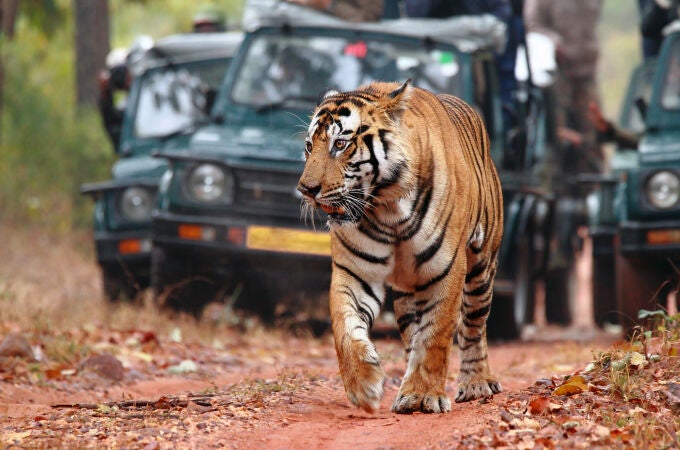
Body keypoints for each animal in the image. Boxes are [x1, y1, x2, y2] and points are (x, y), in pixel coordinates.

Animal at [298, 79, 504, 414]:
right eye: (308, 145)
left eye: (340, 144)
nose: (305, 190)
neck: (387, 208)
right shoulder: (354, 272)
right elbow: (344, 328)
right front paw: (364, 386)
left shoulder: (446, 269)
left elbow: (436, 334)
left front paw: (423, 395)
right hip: (408, 291)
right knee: (412, 333)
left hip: (481, 267)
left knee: (473, 326)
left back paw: (477, 383)